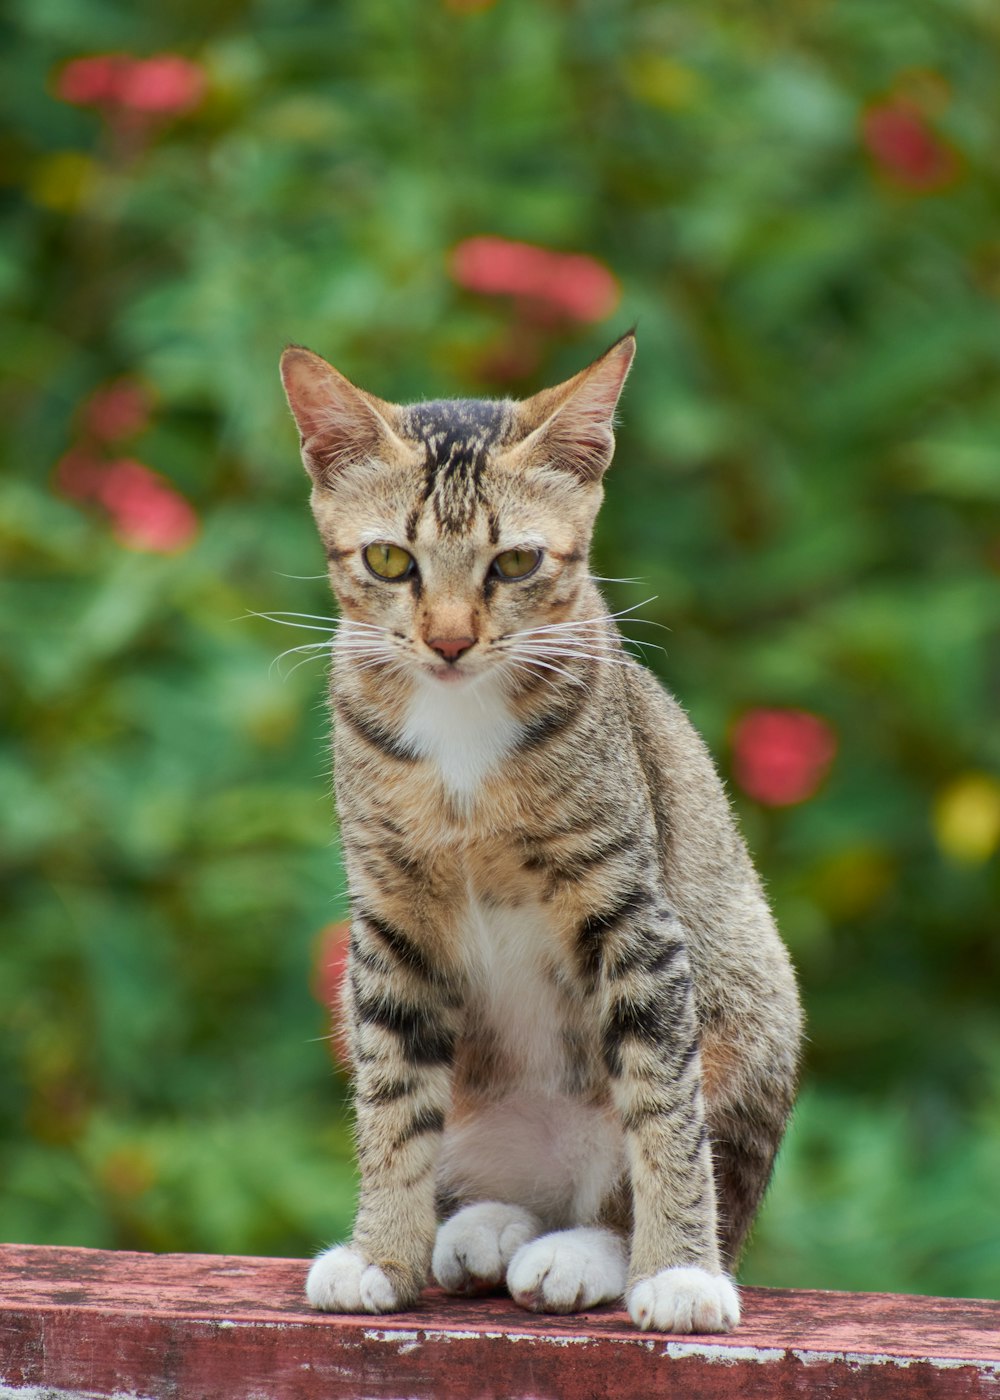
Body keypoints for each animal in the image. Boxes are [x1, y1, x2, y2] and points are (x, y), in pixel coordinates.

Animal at [275, 336, 801, 1332]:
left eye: (515, 563)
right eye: (390, 559)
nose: (447, 642)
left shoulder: (631, 906)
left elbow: (664, 1105)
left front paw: (680, 1272)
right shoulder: (390, 919)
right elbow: (392, 1100)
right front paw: (380, 1254)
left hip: (753, 1008)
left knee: (658, 1159)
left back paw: (590, 1253)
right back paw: (484, 1228)